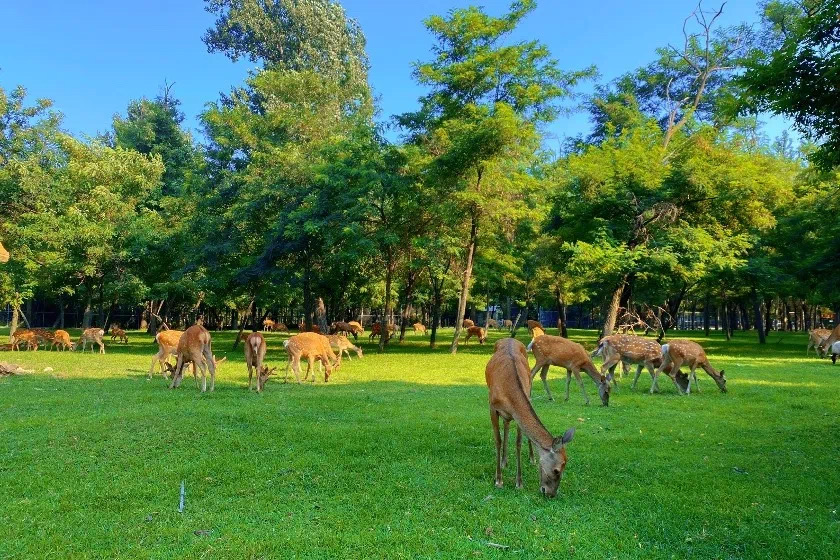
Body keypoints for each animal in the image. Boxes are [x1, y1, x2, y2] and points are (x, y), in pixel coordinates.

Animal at [486, 338, 575, 497]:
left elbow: (518, 443)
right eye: (556, 470)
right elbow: (498, 440)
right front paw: (498, 480)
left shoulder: (518, 411)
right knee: (506, 426)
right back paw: (504, 462)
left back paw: (529, 459)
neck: (508, 391)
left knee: (508, 425)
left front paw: (519, 483)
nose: (550, 494)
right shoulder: (492, 407)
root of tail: (509, 338)